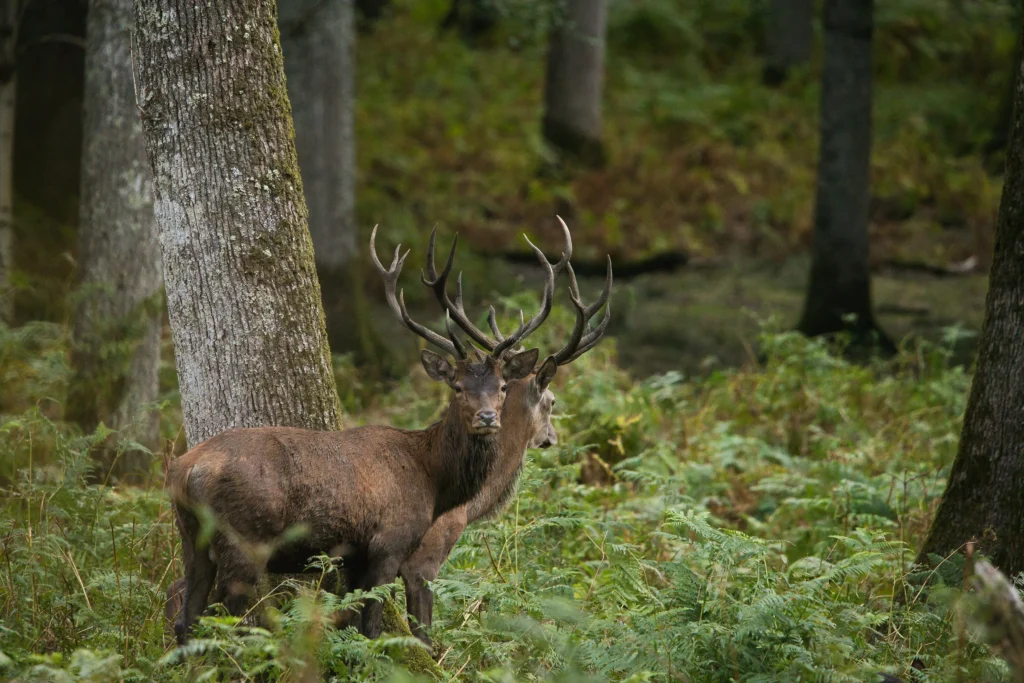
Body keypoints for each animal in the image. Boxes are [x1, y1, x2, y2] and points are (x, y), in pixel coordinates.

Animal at [166, 224, 568, 645]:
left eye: (502, 386)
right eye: (457, 387)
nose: (487, 417)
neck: (432, 477)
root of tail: (187, 470)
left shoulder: (355, 559)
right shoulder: (390, 544)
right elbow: (375, 627)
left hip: (191, 538)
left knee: (187, 619)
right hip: (244, 539)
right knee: (229, 618)